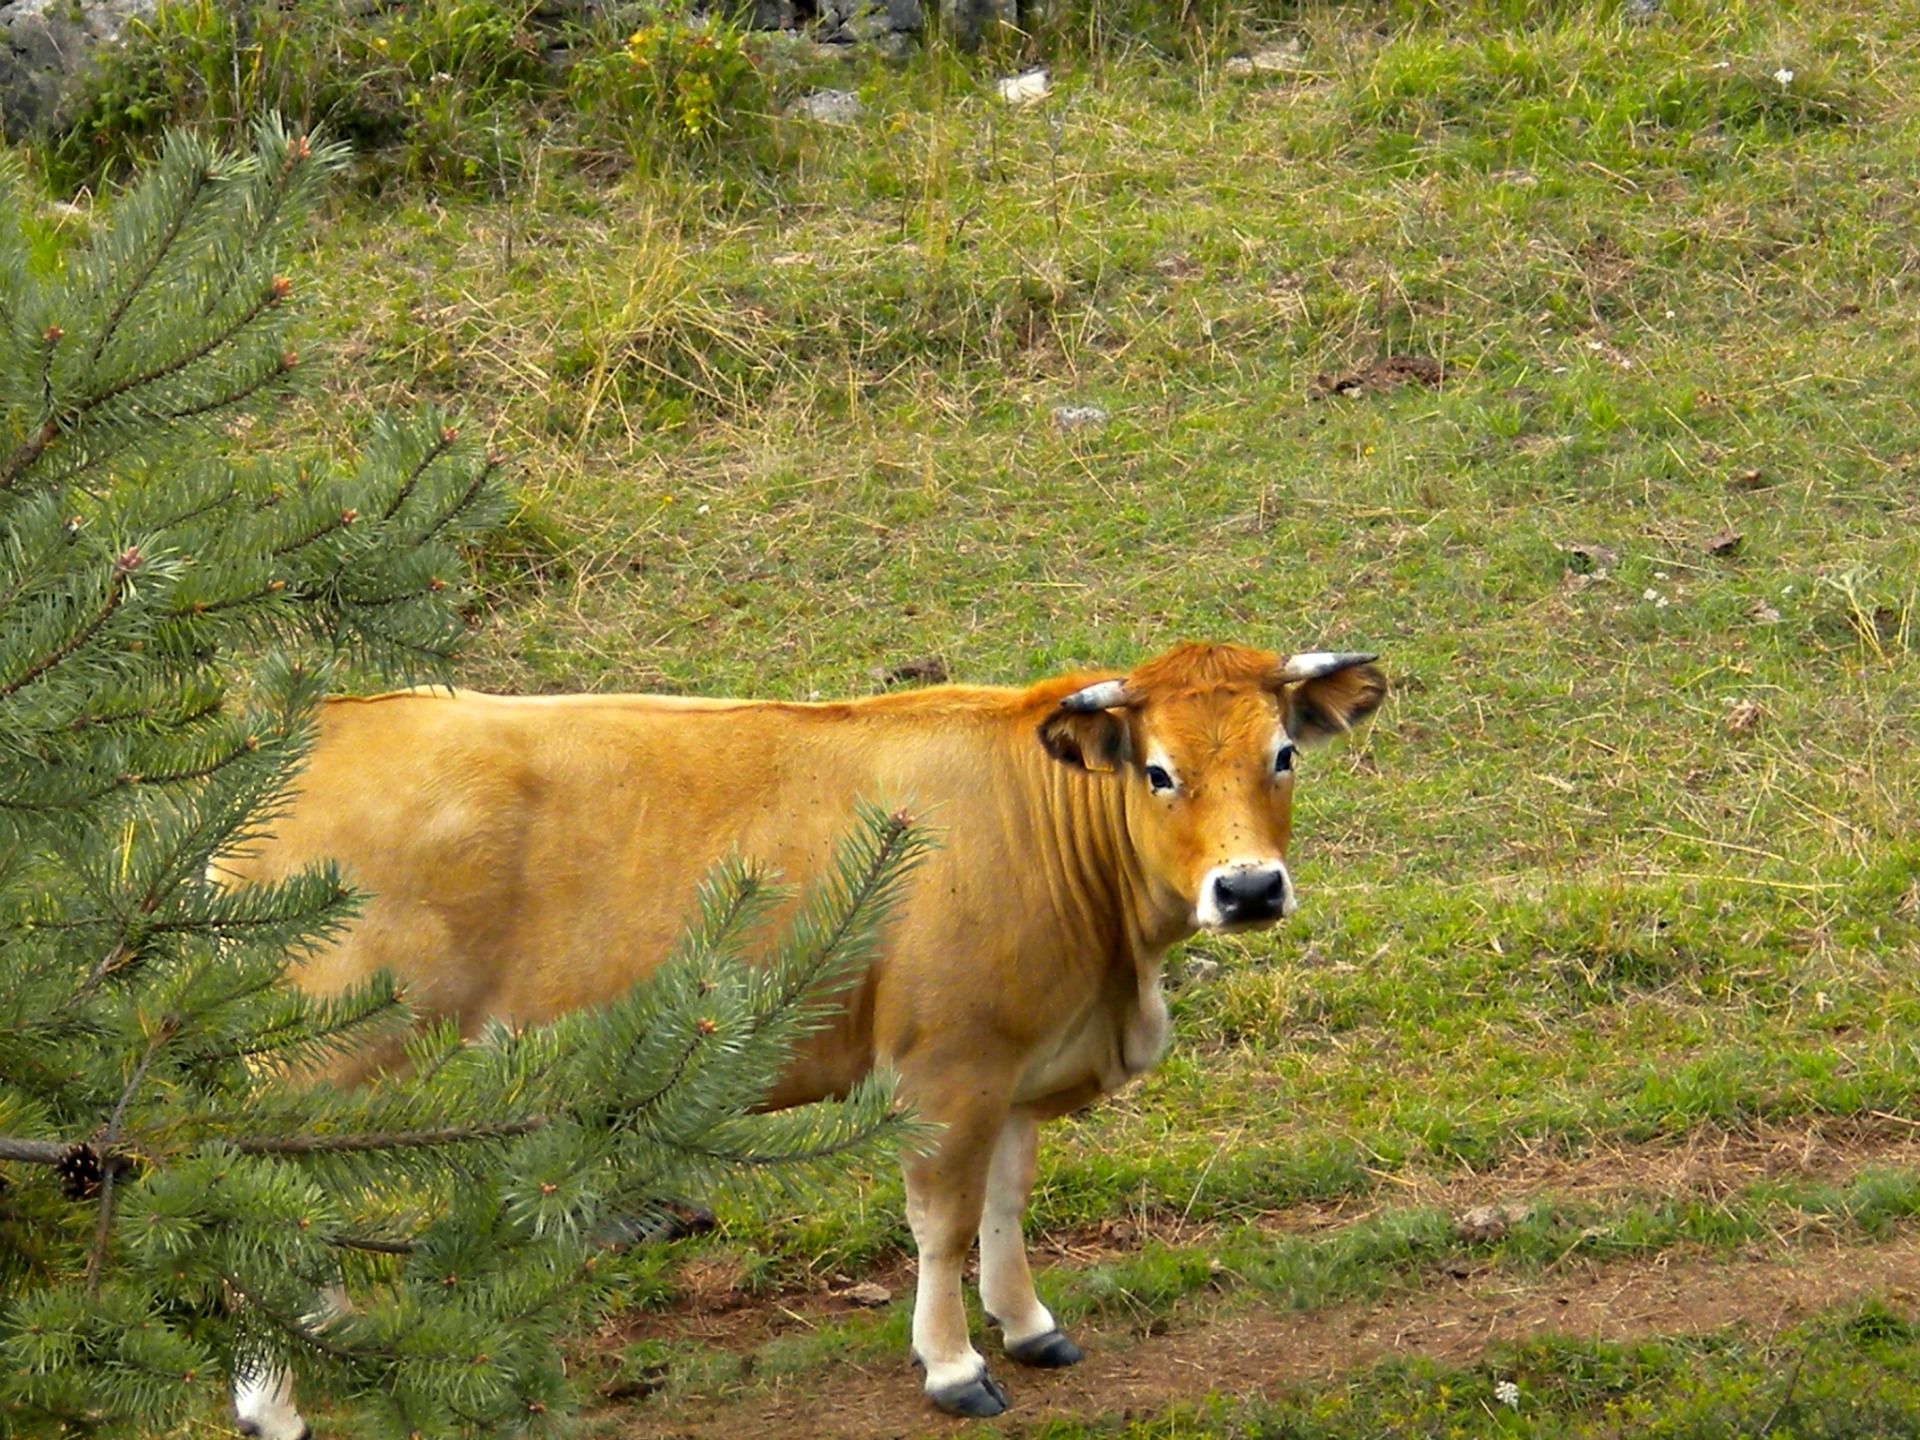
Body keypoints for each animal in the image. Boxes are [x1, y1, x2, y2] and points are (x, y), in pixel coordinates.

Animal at [224, 645, 1390, 1436]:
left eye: (1284, 753)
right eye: (1157, 772)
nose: (1248, 889)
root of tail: (324, 723)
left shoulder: (1019, 1059)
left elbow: (1008, 1206)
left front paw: (1027, 1323)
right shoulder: (946, 1066)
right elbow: (941, 1225)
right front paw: (954, 1367)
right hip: (314, 1061)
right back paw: (273, 1404)